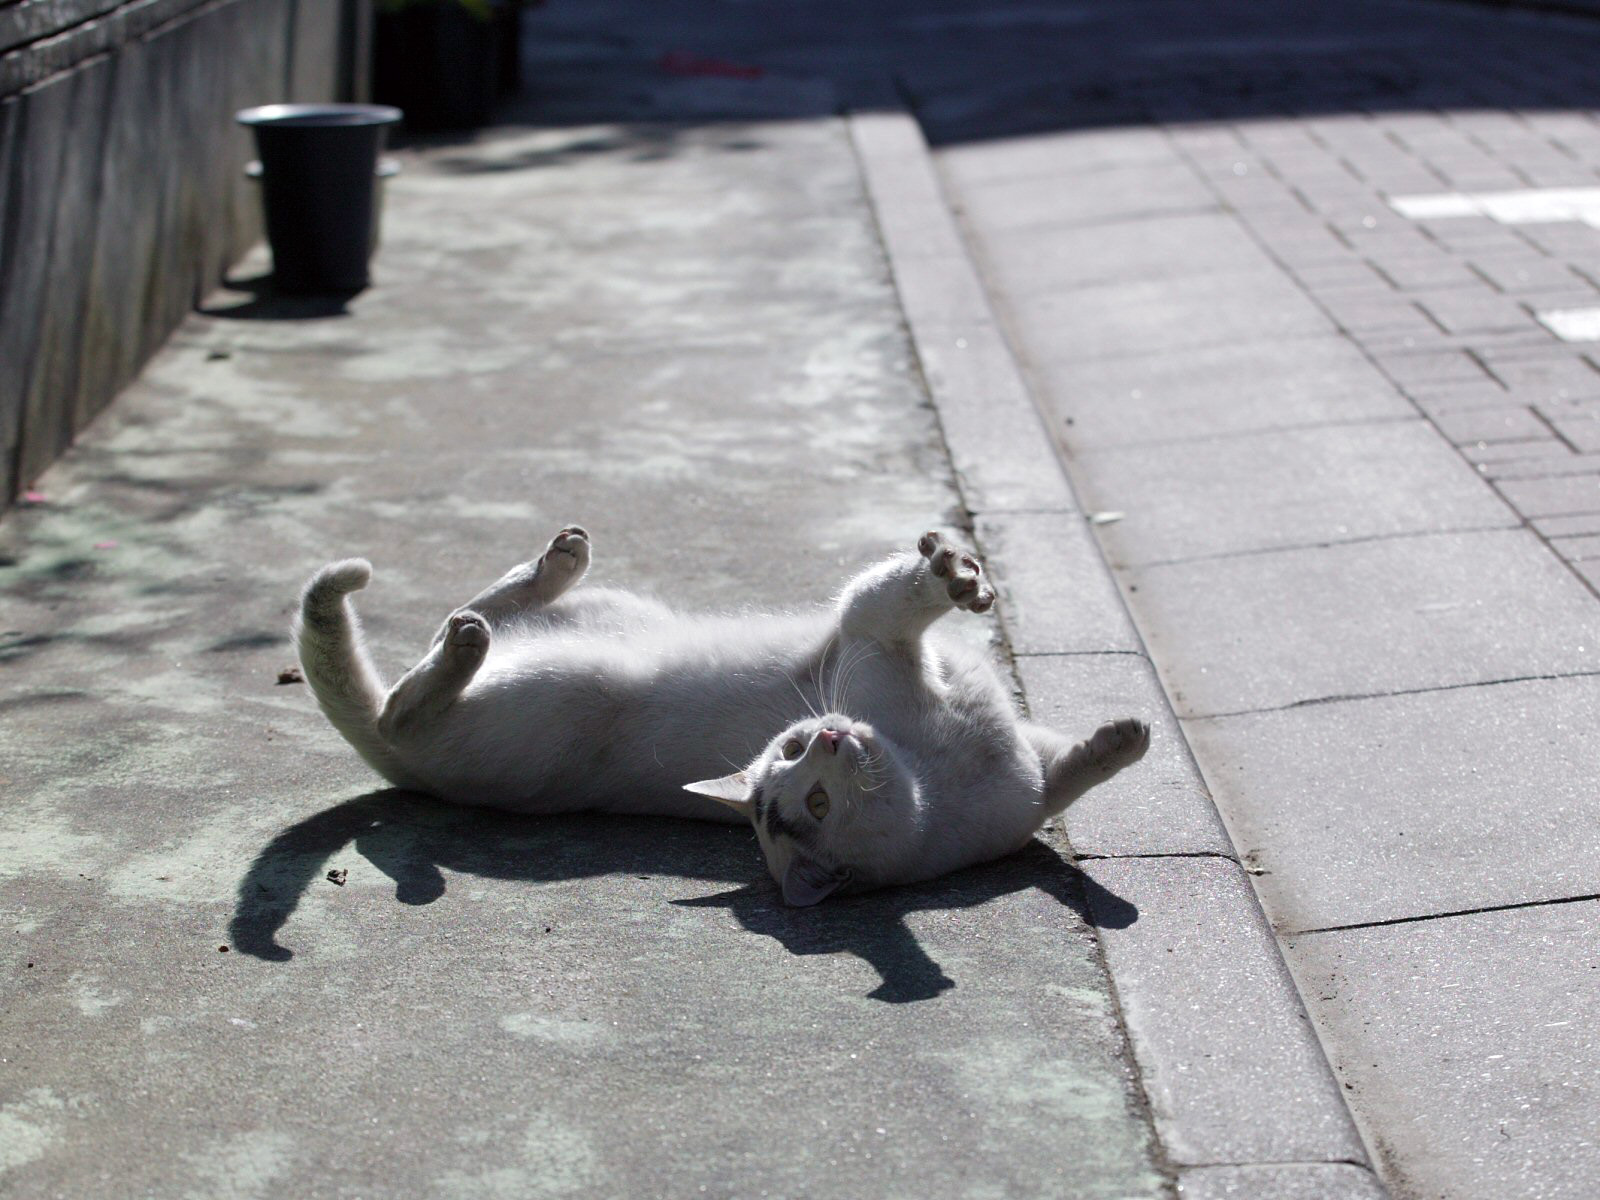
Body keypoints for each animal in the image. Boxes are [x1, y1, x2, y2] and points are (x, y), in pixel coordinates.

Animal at [294, 521, 1152, 908]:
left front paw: (1122, 740)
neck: (938, 775)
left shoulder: (1024, 767)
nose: (833, 732)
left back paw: (555, 562)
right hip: (562, 685)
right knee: (405, 698)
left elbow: (1070, 771)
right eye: (811, 793)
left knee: (473, 611)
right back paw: (469, 645)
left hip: (606, 616)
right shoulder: (869, 630)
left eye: (799, 754)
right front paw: (954, 572)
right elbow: (902, 592)